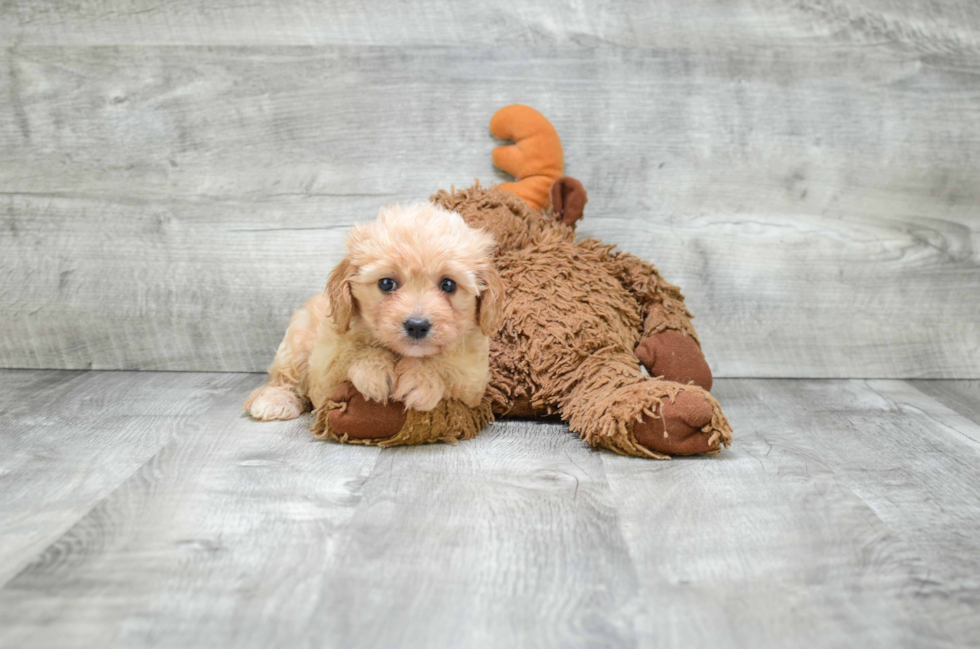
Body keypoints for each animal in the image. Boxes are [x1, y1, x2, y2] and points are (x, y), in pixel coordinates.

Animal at [245, 202, 506, 422]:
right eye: (386, 284)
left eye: (449, 285)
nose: (417, 325)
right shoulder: (324, 372)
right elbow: (350, 354)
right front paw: (374, 370)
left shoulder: (474, 378)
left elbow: (449, 365)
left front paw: (422, 377)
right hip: (297, 340)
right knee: (284, 377)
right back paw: (274, 401)